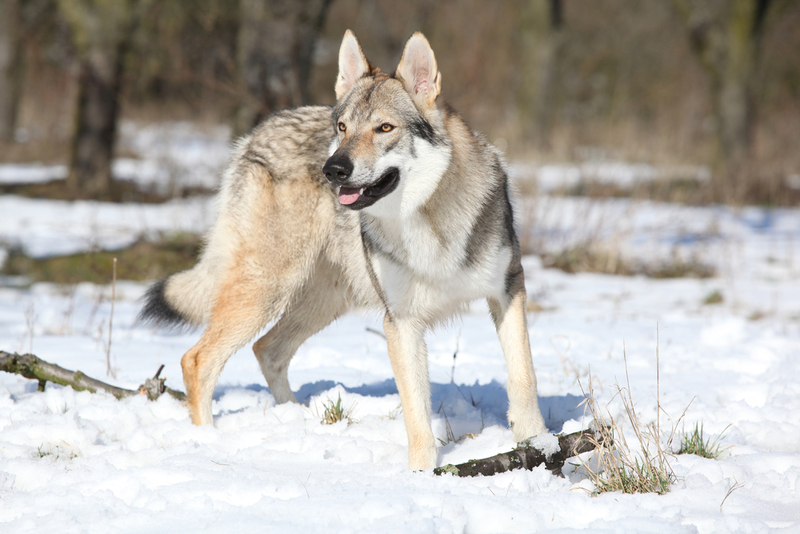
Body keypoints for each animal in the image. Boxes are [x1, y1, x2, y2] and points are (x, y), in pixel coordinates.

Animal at [141, 31, 548, 472]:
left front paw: (536, 445)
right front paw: (422, 474)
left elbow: (523, 376)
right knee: (197, 360)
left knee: (266, 349)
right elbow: (416, 412)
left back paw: (296, 420)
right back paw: (208, 442)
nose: (333, 169)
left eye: (384, 127)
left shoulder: (508, 289)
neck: (426, 220)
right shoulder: (400, 321)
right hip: (269, 291)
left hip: (325, 298)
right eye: (343, 127)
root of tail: (258, 131)